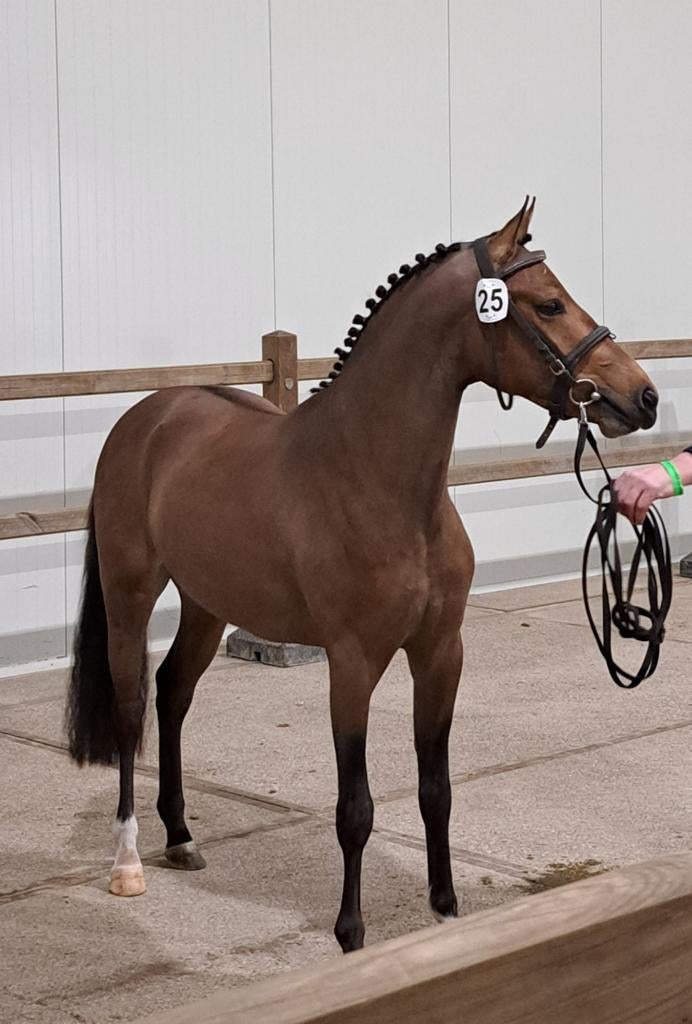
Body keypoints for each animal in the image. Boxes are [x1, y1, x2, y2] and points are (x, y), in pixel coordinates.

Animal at [65, 199, 658, 953]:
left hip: (207, 602)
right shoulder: (351, 663)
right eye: (549, 303)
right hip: (130, 592)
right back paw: (129, 861)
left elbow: (437, 789)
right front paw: (351, 932)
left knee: (173, 693)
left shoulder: (441, 653)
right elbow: (356, 807)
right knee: (132, 706)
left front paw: (445, 910)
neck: (379, 481)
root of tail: (147, 417)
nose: (642, 397)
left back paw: (181, 837)